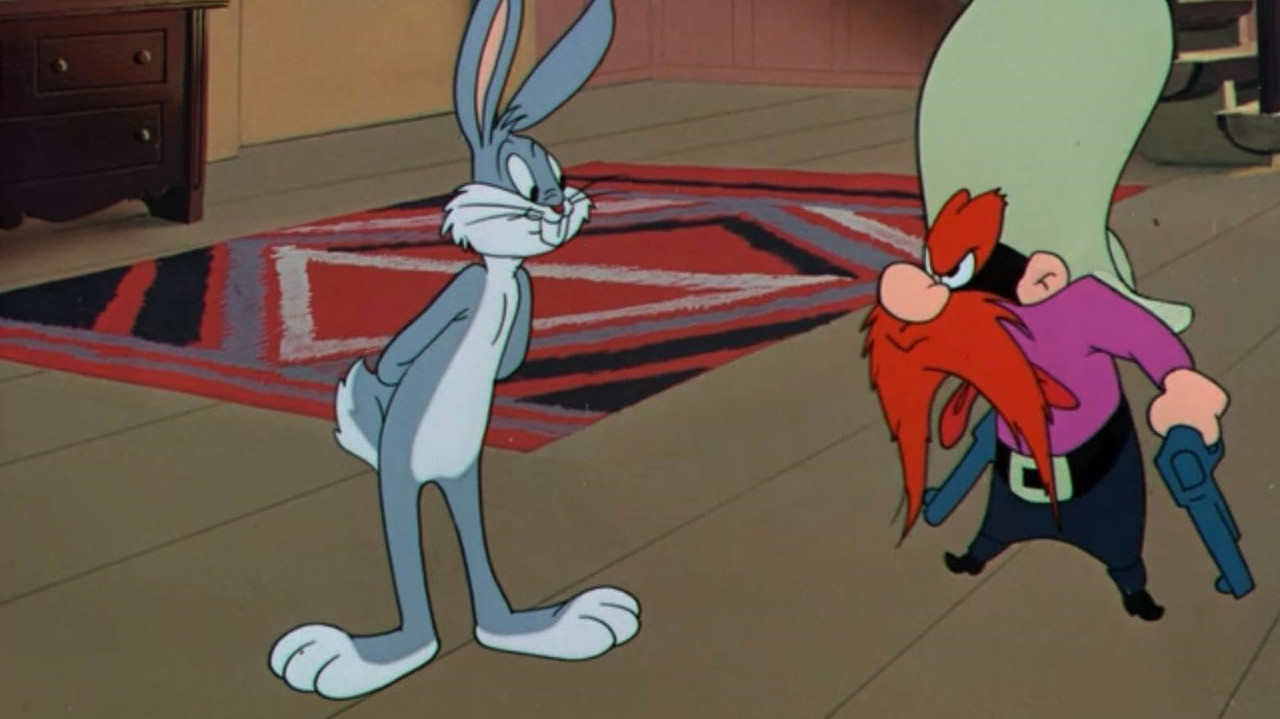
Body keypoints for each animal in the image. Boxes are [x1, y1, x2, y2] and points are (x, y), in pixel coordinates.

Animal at [267, 0, 638, 700]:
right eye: (522, 181)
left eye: (557, 176)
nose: (558, 207)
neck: (500, 275)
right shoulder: (467, 287)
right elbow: (405, 348)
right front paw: (384, 379)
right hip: (402, 475)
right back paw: (379, 656)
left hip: (463, 472)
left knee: (473, 542)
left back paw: (533, 628)